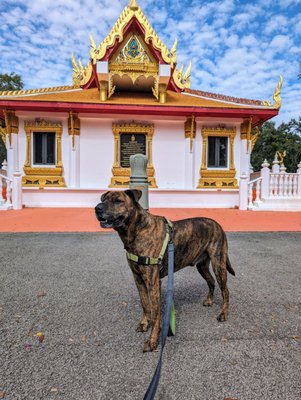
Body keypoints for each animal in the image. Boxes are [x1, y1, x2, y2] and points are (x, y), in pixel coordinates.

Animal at [95, 189, 234, 352]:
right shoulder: (138, 279)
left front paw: (152, 340)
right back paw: (209, 300)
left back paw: (223, 313)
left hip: (219, 263)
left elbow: (156, 314)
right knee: (211, 281)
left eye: (118, 201)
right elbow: (145, 304)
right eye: (103, 200)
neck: (137, 230)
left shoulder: (153, 282)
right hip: (202, 265)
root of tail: (218, 224)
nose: (97, 208)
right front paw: (144, 323)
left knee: (225, 290)